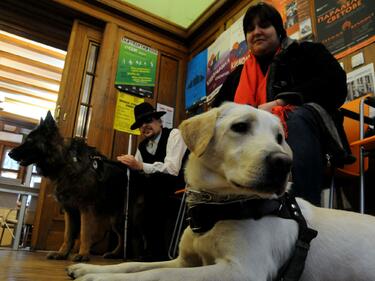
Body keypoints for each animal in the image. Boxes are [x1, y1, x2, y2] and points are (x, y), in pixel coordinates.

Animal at [8, 111, 129, 260]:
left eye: (30, 140)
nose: (9, 153)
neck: (64, 161)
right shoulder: (69, 210)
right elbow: (68, 235)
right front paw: (62, 253)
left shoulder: (85, 209)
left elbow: (84, 233)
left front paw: (82, 254)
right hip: (113, 219)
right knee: (120, 237)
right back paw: (114, 254)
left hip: (118, 218)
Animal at [67, 103, 375, 280]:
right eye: (240, 126)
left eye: (279, 138)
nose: (284, 164)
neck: (217, 207)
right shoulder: (184, 260)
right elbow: (136, 266)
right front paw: (91, 269)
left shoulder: (241, 270)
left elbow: (156, 274)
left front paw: (97, 278)